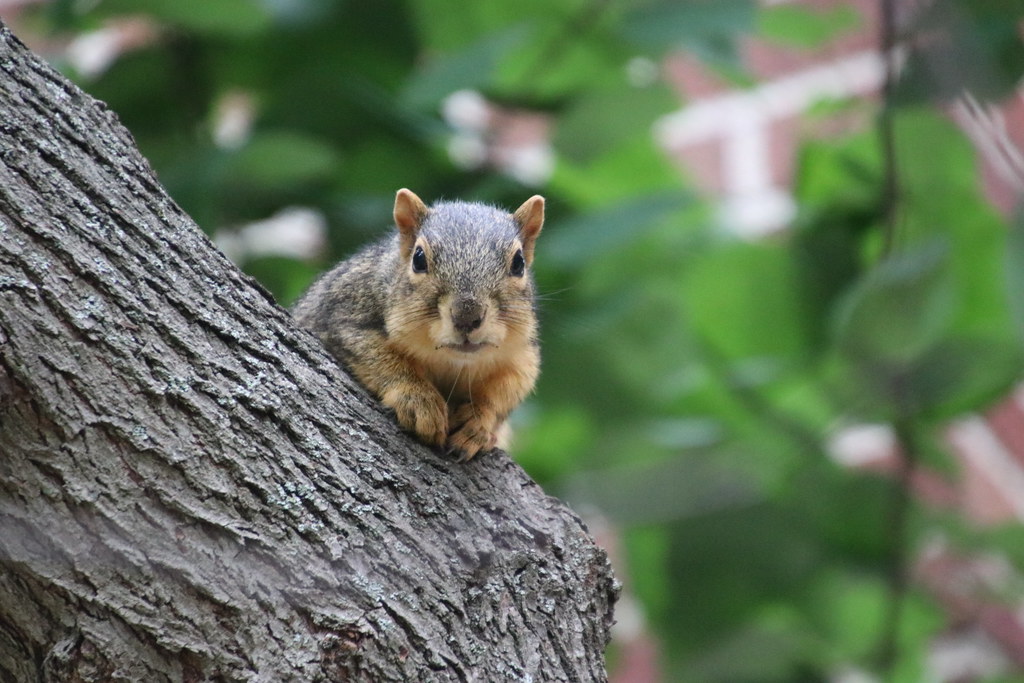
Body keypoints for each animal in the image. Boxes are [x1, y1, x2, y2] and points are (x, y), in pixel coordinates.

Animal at [293, 189, 544, 461]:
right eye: (419, 258)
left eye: (518, 263)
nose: (467, 316)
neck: (452, 362)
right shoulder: (341, 316)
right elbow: (379, 358)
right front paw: (418, 400)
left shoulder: (522, 355)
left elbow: (507, 389)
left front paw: (477, 421)